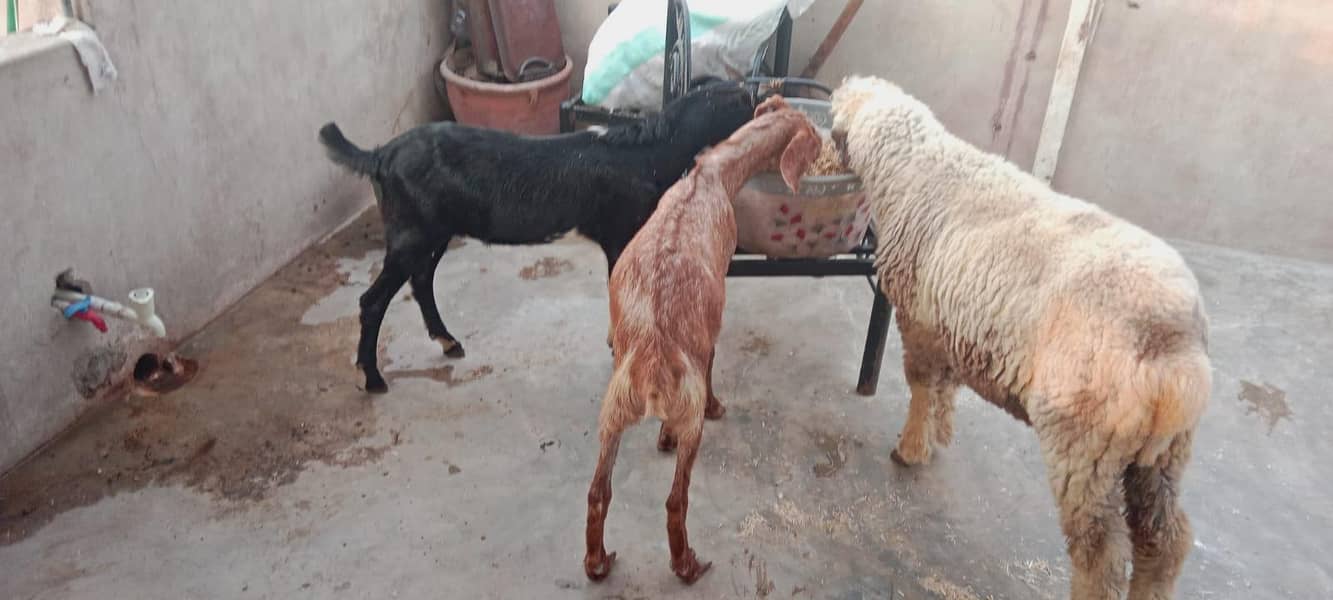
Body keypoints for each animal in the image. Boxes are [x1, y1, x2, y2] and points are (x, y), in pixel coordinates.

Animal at [318, 82, 755, 393]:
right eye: (743, 101)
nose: (763, 99)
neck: (650, 151)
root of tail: (380, 155)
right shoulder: (619, 231)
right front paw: (620, 349)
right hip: (412, 232)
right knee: (373, 300)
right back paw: (373, 378)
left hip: (435, 231)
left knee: (421, 279)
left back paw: (448, 341)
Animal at [584, 96, 822, 584]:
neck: (710, 175)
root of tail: (650, 361)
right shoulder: (711, 328)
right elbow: (713, 362)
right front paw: (713, 408)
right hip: (689, 419)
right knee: (676, 499)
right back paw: (687, 563)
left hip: (612, 414)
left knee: (599, 492)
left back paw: (597, 562)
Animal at [831, 76, 1210, 600]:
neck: (917, 167)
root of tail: (1175, 349)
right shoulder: (951, 323)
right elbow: (945, 388)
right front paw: (939, 433)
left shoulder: (919, 321)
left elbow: (921, 386)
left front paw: (911, 448)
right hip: (1161, 456)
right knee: (1166, 540)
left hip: (1084, 441)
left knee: (1101, 554)